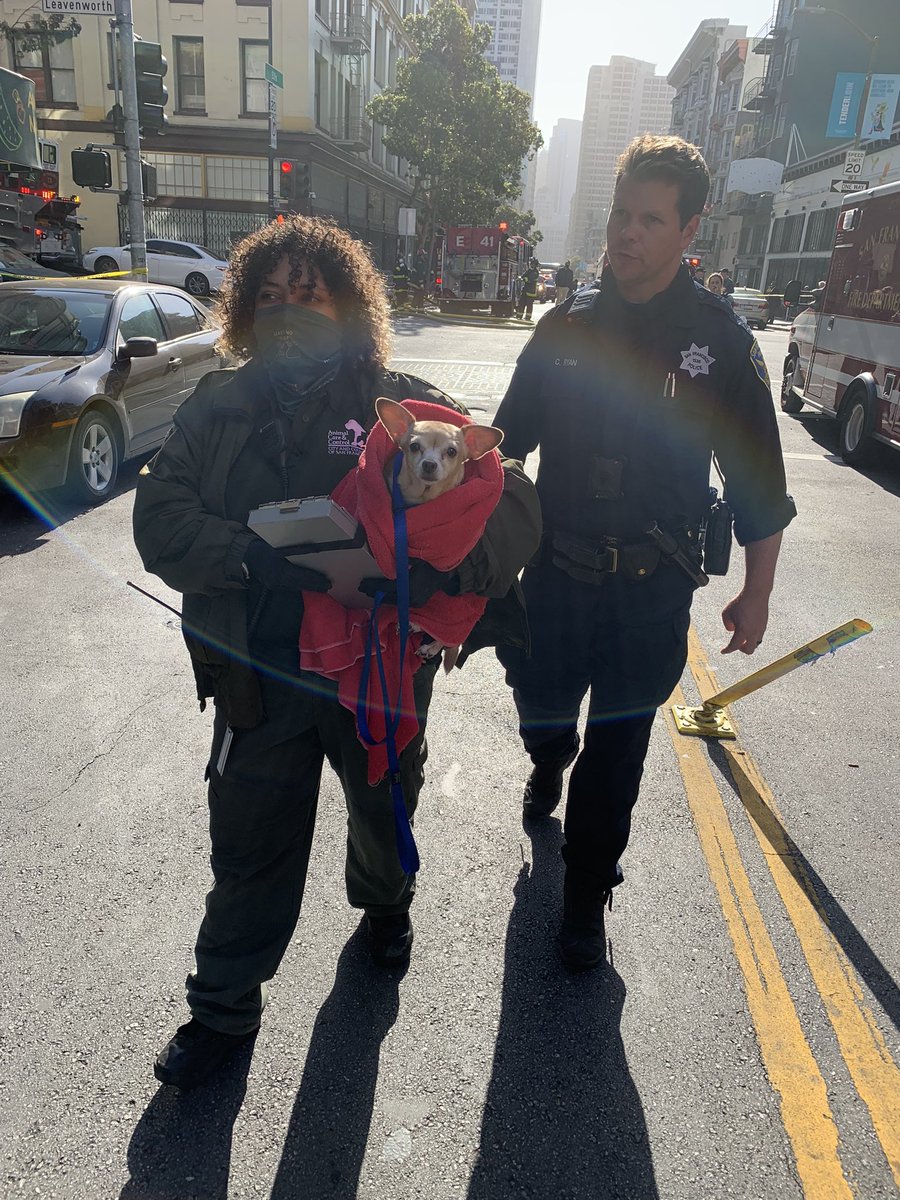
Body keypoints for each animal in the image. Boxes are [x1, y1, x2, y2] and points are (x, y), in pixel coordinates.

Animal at [374, 397, 504, 670]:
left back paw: (430, 644)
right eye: (414, 447)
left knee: (448, 639)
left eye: (452, 452)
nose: (429, 463)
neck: (421, 501)